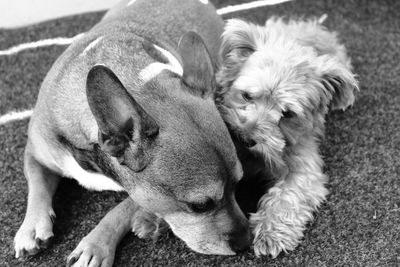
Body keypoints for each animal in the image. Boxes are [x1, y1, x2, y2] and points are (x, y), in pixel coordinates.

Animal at [216, 17, 360, 258]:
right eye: (246, 95)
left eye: (288, 114)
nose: (246, 139)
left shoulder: (304, 166)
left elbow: (287, 195)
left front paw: (270, 232)